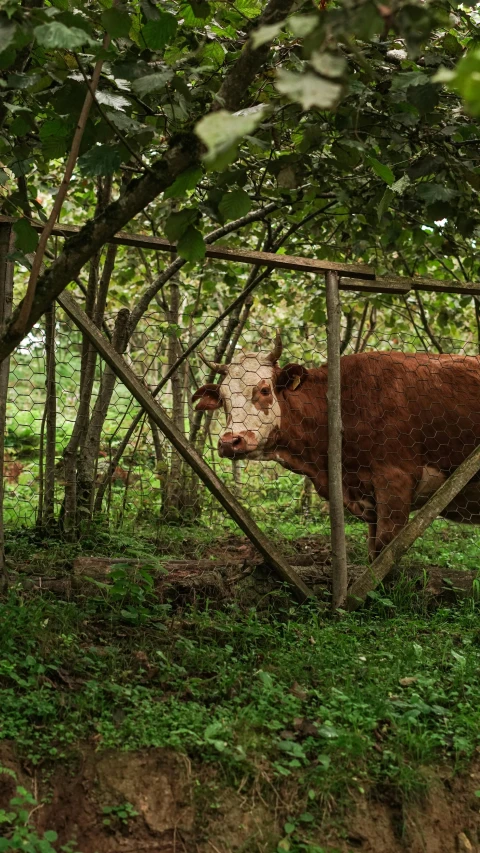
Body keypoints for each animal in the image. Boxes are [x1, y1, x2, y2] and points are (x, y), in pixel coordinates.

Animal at [193, 336, 480, 564]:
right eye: (223, 399)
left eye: (264, 390)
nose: (230, 441)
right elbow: (372, 551)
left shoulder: (395, 481)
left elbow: (385, 550)